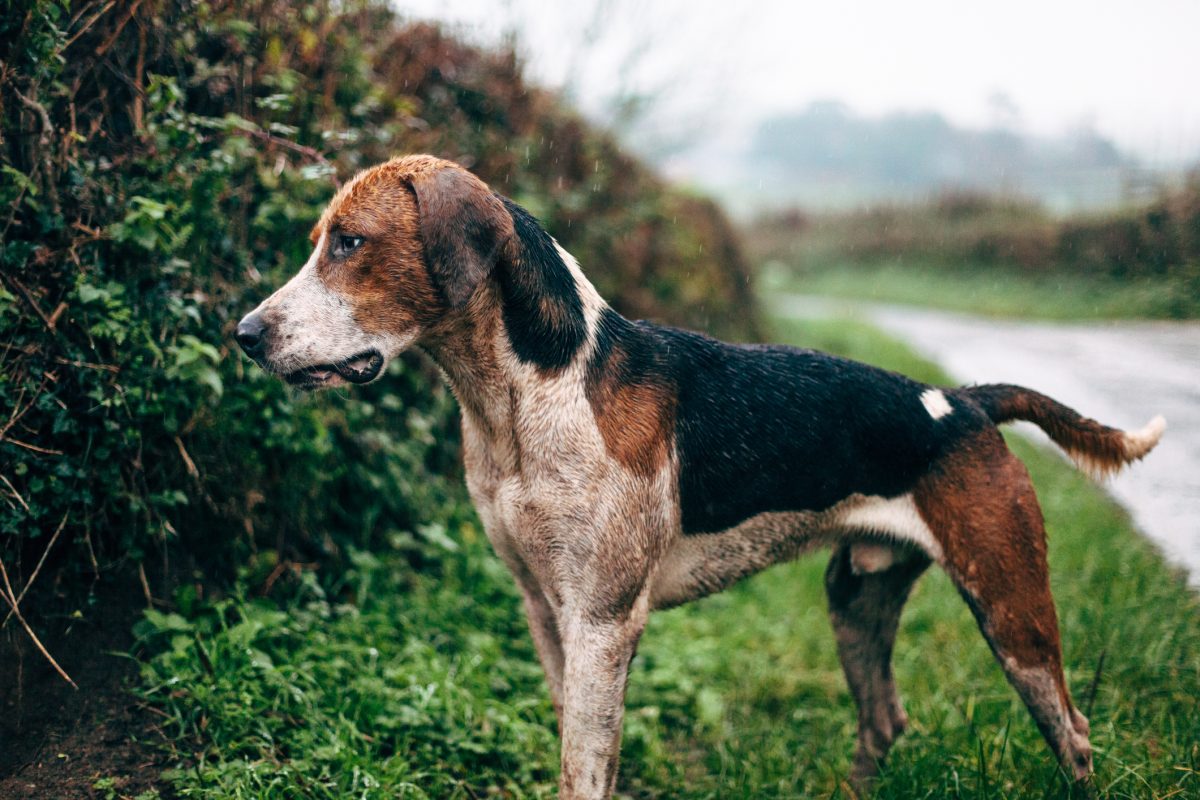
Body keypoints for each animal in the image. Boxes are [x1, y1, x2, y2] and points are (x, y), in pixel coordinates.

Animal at [234, 153, 1161, 796]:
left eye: (350, 243)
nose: (244, 334)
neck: (526, 397)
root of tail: (963, 401)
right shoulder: (545, 611)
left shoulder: (603, 622)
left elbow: (585, 770)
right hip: (856, 601)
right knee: (884, 720)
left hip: (1013, 613)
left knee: (1074, 734)